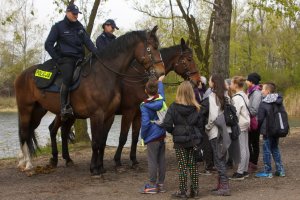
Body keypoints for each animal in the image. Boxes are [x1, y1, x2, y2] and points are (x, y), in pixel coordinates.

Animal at [14, 26, 164, 175]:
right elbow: (99, 141)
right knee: (25, 133)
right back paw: (27, 164)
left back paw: (56, 160)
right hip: (26, 110)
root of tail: (22, 75)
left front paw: (102, 167)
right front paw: (95, 168)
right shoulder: (101, 114)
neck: (104, 75)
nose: (160, 72)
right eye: (151, 48)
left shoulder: (111, 115)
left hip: (42, 112)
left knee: (44, 131)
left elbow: (104, 141)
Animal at [46, 38, 199, 168]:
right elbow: (123, 137)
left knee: (62, 131)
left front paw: (133, 159)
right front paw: (117, 160)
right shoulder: (128, 111)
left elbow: (135, 137)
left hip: (71, 115)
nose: (197, 81)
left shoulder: (138, 113)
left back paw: (66, 159)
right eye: (189, 59)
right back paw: (56, 159)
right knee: (54, 130)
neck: (139, 79)